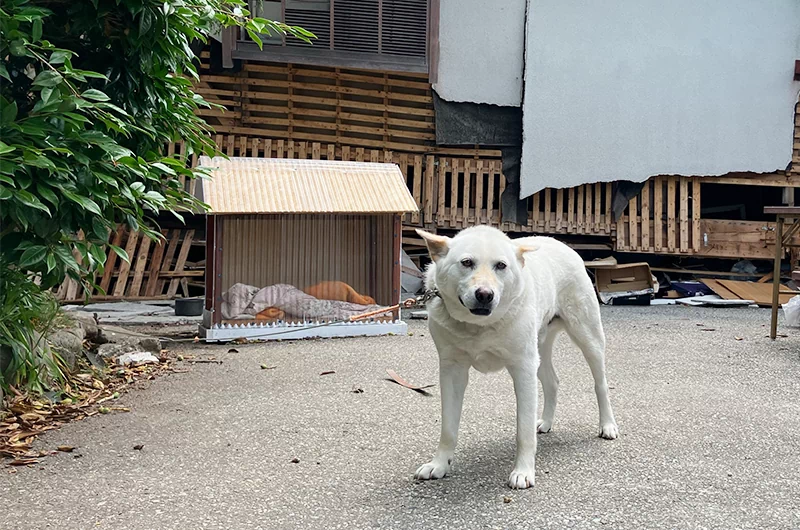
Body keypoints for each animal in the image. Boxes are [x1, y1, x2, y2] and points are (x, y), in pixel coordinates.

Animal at [412, 225, 620, 488]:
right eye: (466, 262)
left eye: (501, 265)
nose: (484, 295)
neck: (479, 325)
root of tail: (560, 243)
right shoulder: (451, 370)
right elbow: (448, 427)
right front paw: (439, 465)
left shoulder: (523, 369)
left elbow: (524, 430)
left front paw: (523, 471)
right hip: (539, 351)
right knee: (552, 382)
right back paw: (546, 422)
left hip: (588, 337)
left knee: (600, 384)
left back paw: (608, 425)